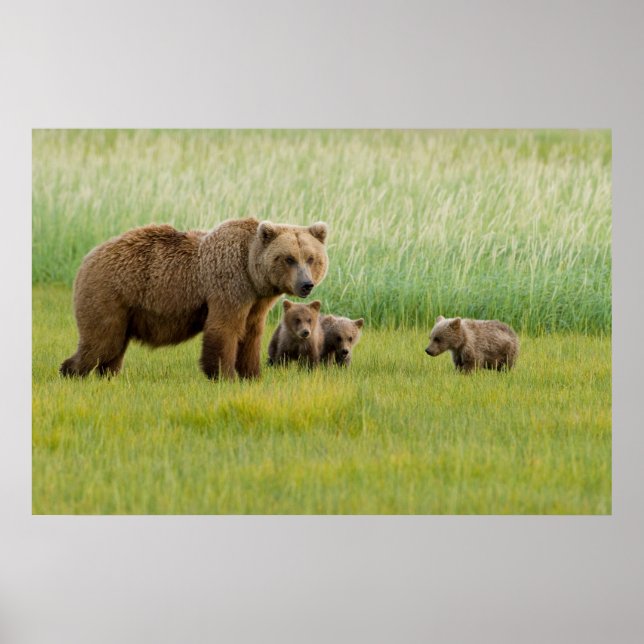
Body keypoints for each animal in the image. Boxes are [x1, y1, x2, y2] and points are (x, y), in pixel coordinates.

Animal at [60, 218, 329, 380]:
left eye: (311, 258)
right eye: (289, 258)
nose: (306, 284)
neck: (252, 273)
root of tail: (88, 256)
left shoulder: (256, 302)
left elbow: (251, 335)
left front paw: (251, 374)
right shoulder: (229, 285)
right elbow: (224, 329)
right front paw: (223, 375)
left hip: (125, 310)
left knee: (113, 347)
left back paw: (108, 375)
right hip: (109, 294)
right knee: (102, 341)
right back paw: (70, 371)